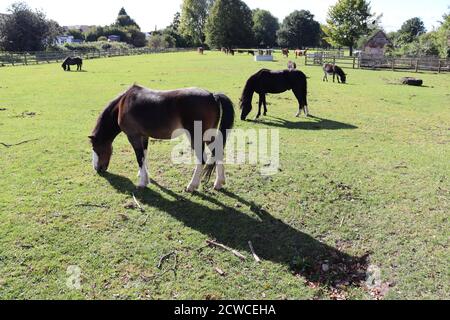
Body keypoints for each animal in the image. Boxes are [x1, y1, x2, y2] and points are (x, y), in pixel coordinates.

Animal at [89, 84, 236, 191]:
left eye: (96, 148)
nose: (97, 169)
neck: (123, 104)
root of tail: (212, 96)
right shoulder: (144, 136)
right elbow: (144, 155)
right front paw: (144, 175)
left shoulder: (133, 136)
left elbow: (139, 157)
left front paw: (142, 183)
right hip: (208, 135)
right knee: (217, 153)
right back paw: (219, 183)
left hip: (197, 136)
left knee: (202, 159)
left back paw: (192, 186)